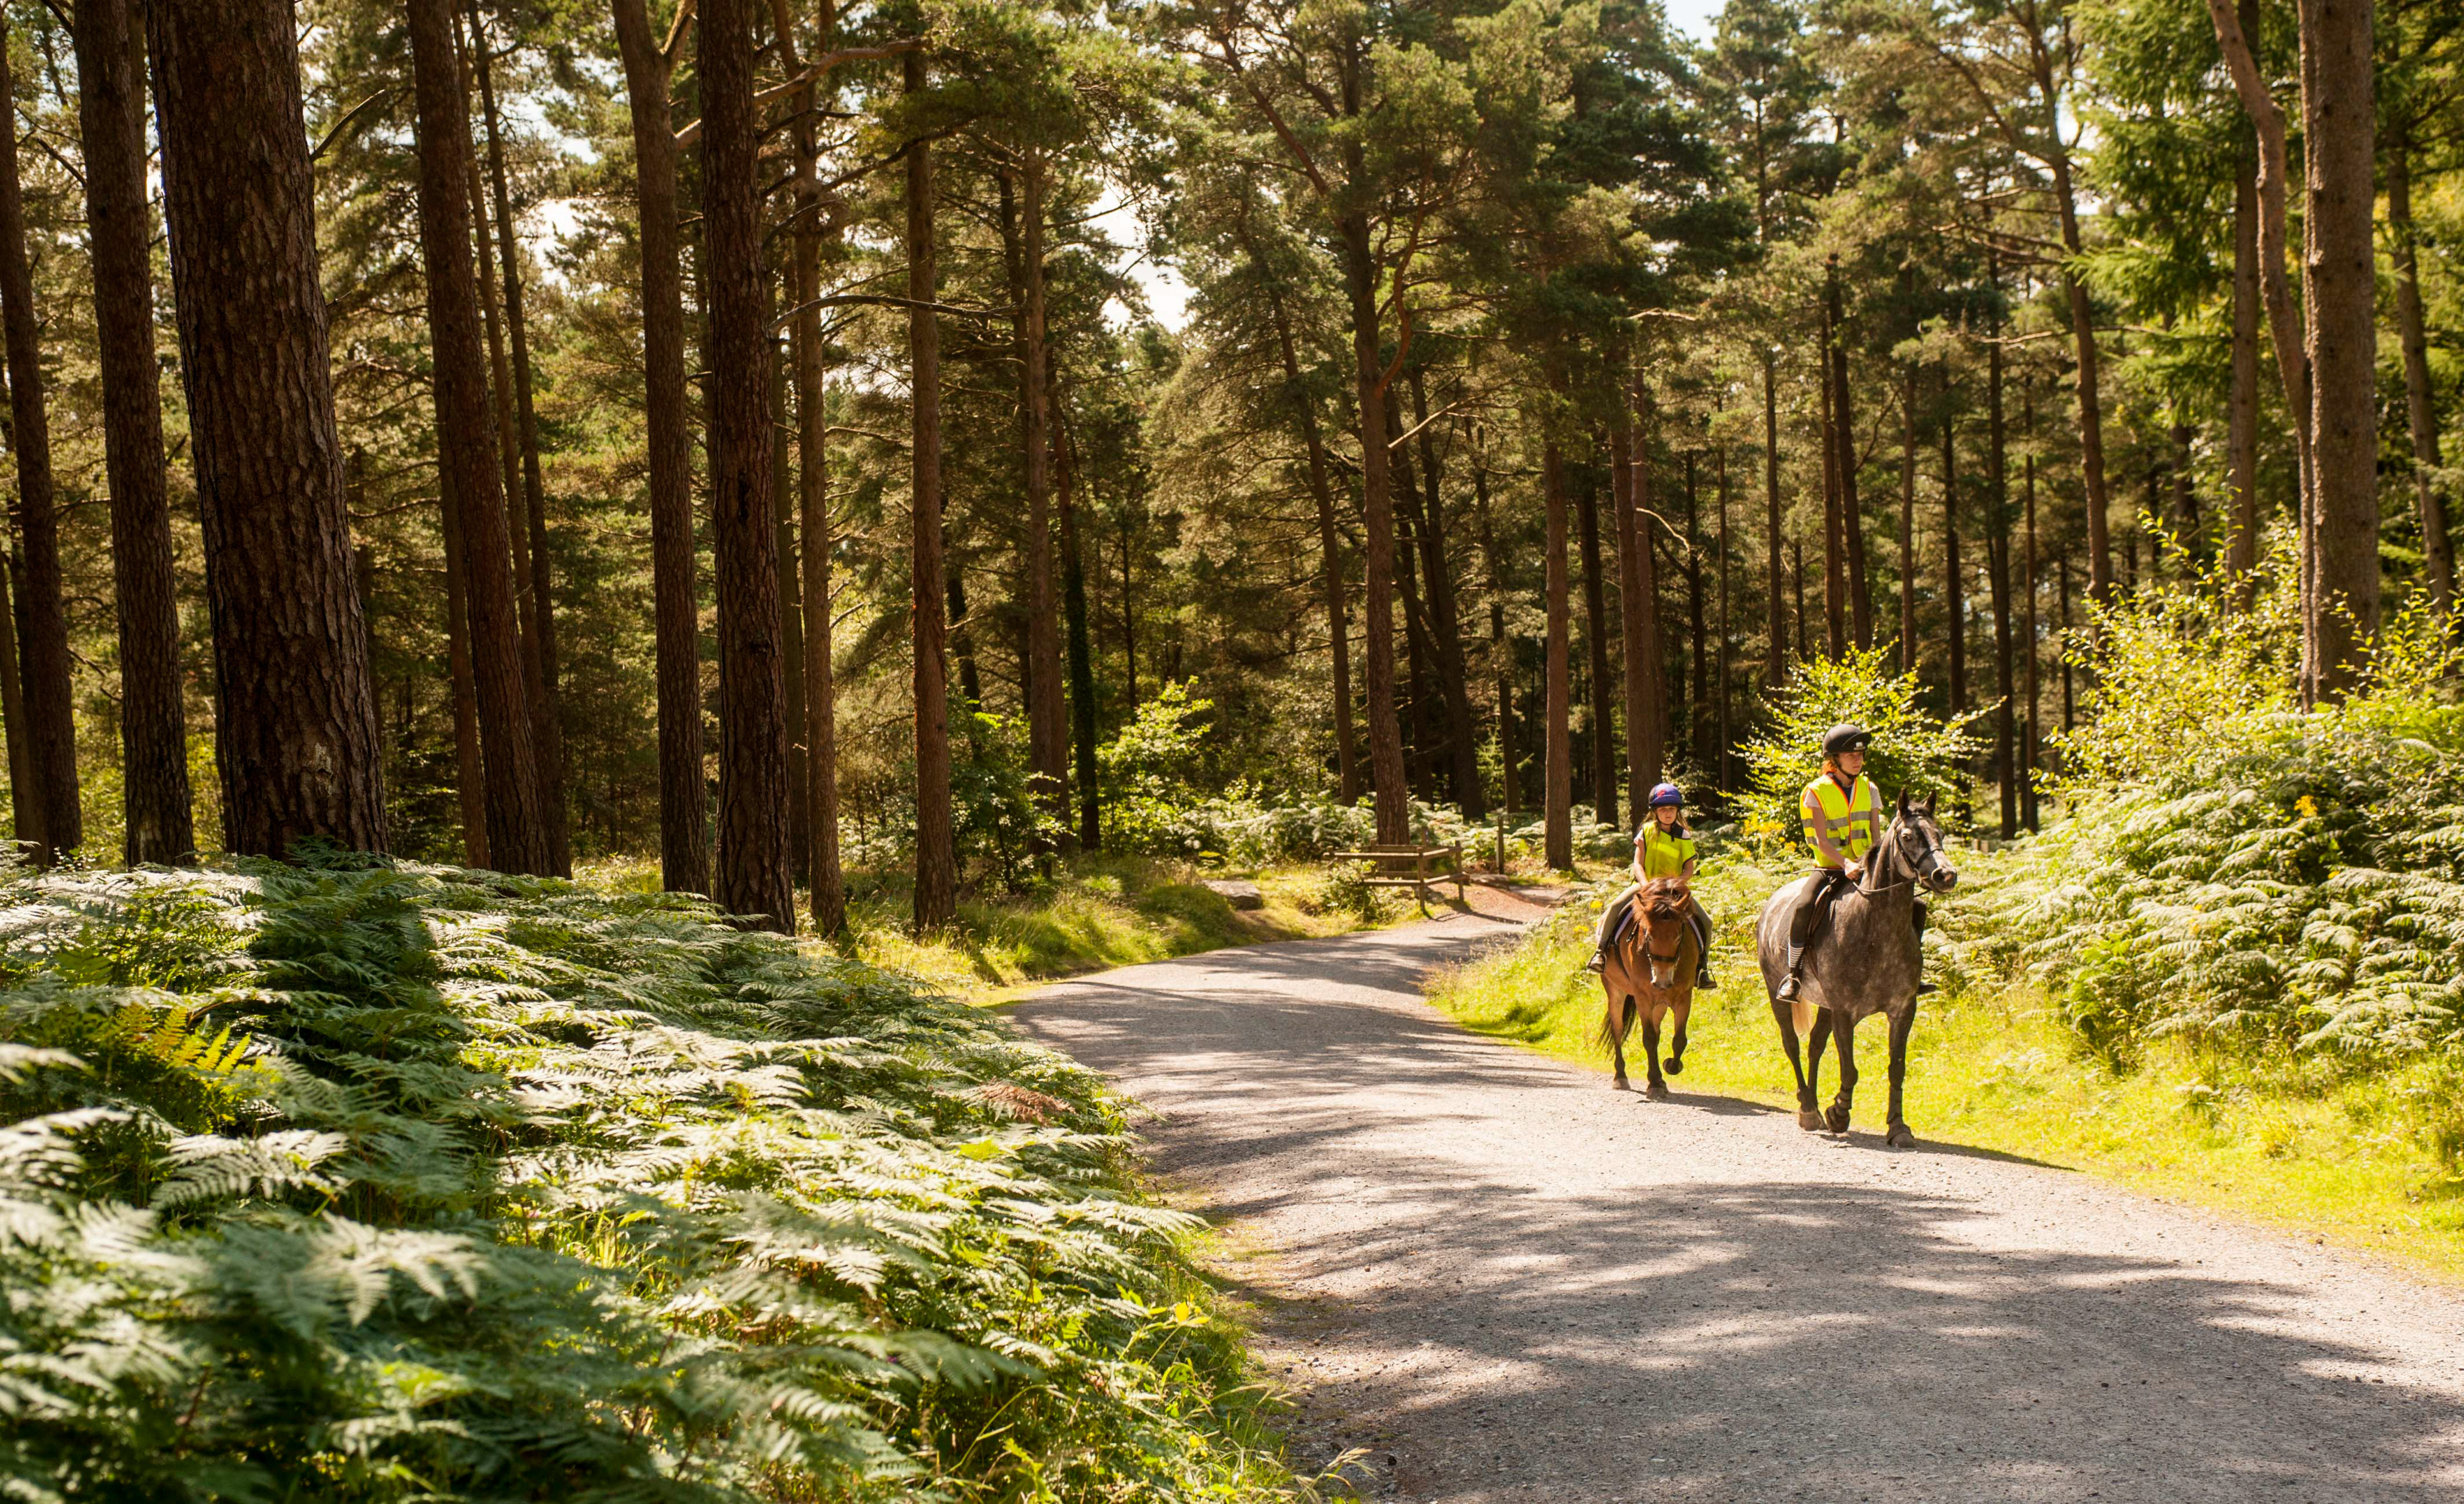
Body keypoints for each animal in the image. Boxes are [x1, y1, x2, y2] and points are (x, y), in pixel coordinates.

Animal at [1597, 873, 1695, 1094]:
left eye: (1679, 938)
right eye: (1649, 937)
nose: (1662, 981)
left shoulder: (1684, 997)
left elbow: (1679, 1039)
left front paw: (1670, 1067)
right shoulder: (1642, 997)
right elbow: (1649, 1038)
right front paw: (1655, 1083)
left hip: (1659, 1004)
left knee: (1658, 1033)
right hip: (1616, 992)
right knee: (1618, 1030)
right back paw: (1621, 1076)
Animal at [1754, 789, 1961, 1144]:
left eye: (1941, 834)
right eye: (1908, 836)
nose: (1945, 876)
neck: (1876, 929)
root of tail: (1773, 903)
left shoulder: (1903, 1010)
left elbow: (1897, 1068)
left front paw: (1898, 1127)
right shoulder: (1844, 1012)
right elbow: (1850, 1069)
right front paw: (1839, 1113)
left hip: (1824, 1005)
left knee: (1815, 1046)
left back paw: (1813, 1106)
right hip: (1776, 992)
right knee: (1792, 1045)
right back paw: (1808, 1109)